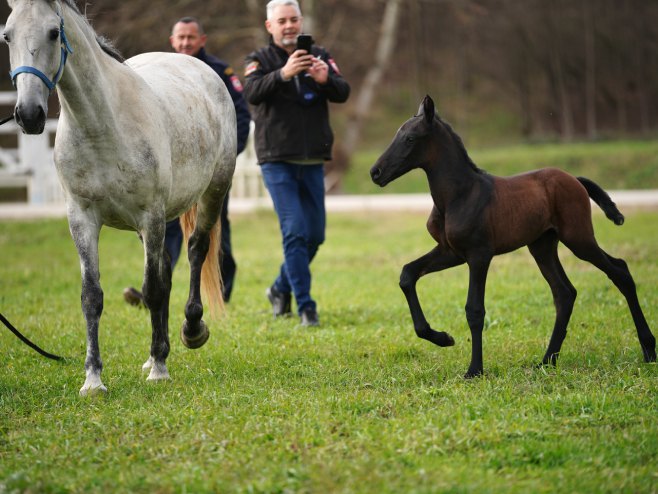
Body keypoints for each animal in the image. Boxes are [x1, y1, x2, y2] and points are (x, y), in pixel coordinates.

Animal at [4, 0, 236, 394]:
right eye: (7, 36)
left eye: (52, 32)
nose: (29, 115)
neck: (101, 128)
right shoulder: (82, 218)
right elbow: (92, 296)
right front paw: (93, 379)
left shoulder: (150, 215)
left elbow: (153, 289)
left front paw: (160, 370)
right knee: (166, 267)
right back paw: (156, 352)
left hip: (211, 193)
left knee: (195, 251)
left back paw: (190, 331)